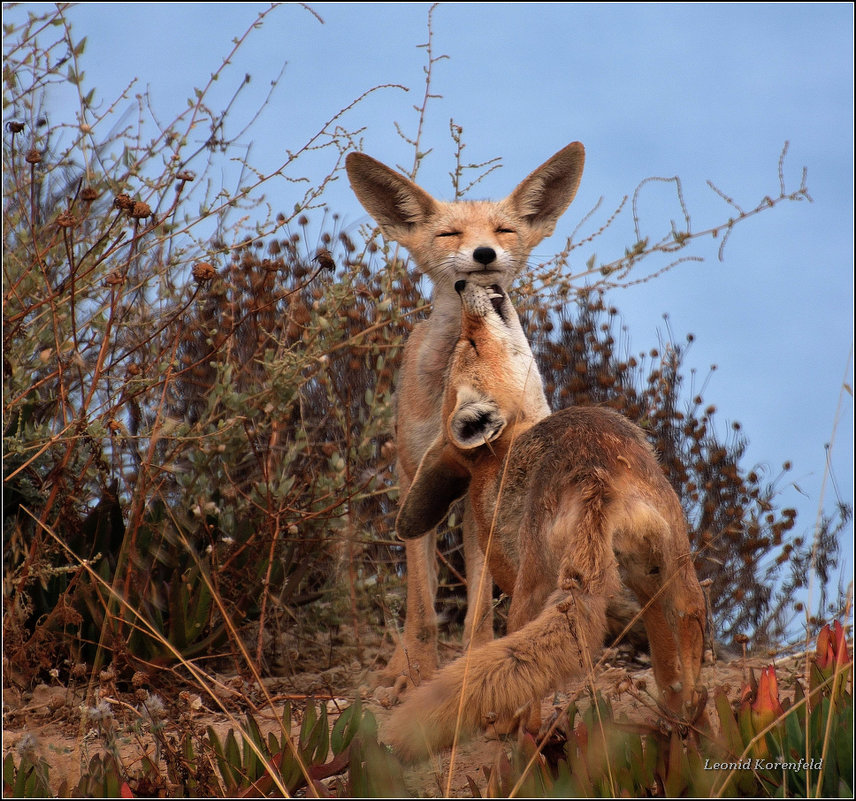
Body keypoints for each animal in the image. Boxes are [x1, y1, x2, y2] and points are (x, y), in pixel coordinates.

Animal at [344, 141, 584, 692]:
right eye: (449, 234)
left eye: (504, 231)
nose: (483, 255)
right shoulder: (413, 474)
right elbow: (420, 606)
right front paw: (413, 672)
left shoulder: (481, 487)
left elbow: (479, 607)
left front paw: (473, 661)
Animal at [384, 282, 704, 764]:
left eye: (469, 343)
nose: (465, 285)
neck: (501, 454)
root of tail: (596, 477)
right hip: (659, 574)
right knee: (680, 654)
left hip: (551, 592)